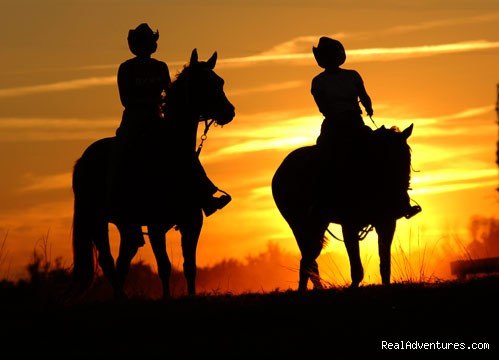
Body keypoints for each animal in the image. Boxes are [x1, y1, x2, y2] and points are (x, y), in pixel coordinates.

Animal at [70, 50, 236, 298]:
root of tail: (84, 159)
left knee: (123, 259)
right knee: (108, 261)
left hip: (125, 224)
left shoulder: (192, 222)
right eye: (203, 83)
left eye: (219, 81)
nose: (229, 112)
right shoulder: (156, 227)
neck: (171, 159)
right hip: (96, 219)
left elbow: (190, 267)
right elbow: (164, 268)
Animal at [272, 125, 416, 292]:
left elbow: (385, 261)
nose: (400, 199)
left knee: (310, 257)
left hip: (318, 224)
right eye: (386, 157)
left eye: (407, 157)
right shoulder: (349, 225)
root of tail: (280, 170)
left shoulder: (386, 222)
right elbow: (356, 266)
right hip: (300, 225)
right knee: (308, 257)